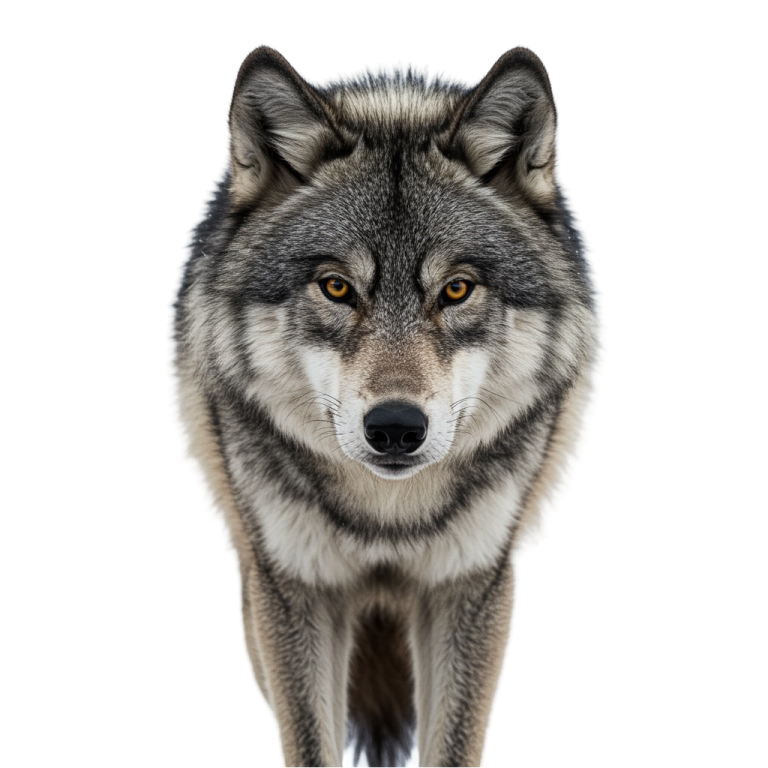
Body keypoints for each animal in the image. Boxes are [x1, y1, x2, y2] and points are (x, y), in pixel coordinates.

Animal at [166, 43, 603, 767]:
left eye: (456, 290)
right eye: (337, 287)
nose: (396, 428)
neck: (387, 518)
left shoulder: (472, 585)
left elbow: (452, 744)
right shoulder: (291, 586)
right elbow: (308, 741)